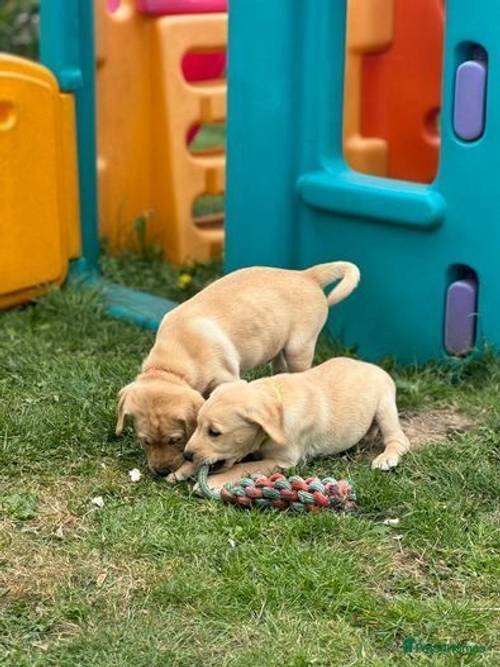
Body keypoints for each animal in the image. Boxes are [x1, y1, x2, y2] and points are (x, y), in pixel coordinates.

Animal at [117, 262, 360, 480]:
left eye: (175, 440)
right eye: (145, 441)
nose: (161, 472)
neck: (171, 364)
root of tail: (306, 275)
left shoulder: (226, 378)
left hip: (299, 347)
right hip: (279, 348)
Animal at [182, 358, 408, 494]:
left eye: (214, 433)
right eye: (197, 425)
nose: (186, 455)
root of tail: (374, 366)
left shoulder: (283, 461)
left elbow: (243, 467)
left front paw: (211, 482)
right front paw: (184, 469)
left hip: (385, 405)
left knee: (398, 439)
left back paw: (387, 458)